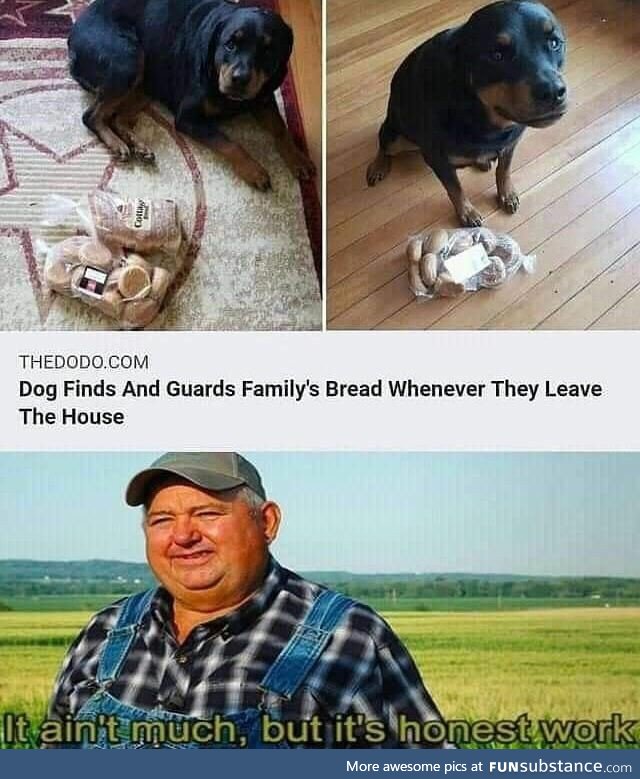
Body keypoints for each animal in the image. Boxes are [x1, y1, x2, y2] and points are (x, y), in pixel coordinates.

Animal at [69, 0, 316, 190]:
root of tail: (72, 35)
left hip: (147, 82)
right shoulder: (188, 118)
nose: (240, 78)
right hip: (128, 59)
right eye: (230, 44)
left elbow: (281, 128)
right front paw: (255, 171)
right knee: (91, 115)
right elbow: (229, 143)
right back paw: (117, 144)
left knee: (118, 117)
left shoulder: (263, 98)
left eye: (268, 50)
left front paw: (298, 158)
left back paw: (137, 144)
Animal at [368, 0, 568, 225]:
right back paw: (378, 167)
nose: (553, 92)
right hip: (397, 135)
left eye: (554, 43)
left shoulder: (510, 144)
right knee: (383, 143)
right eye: (496, 56)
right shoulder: (438, 159)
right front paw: (467, 212)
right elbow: (455, 188)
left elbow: (504, 170)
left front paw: (506, 194)